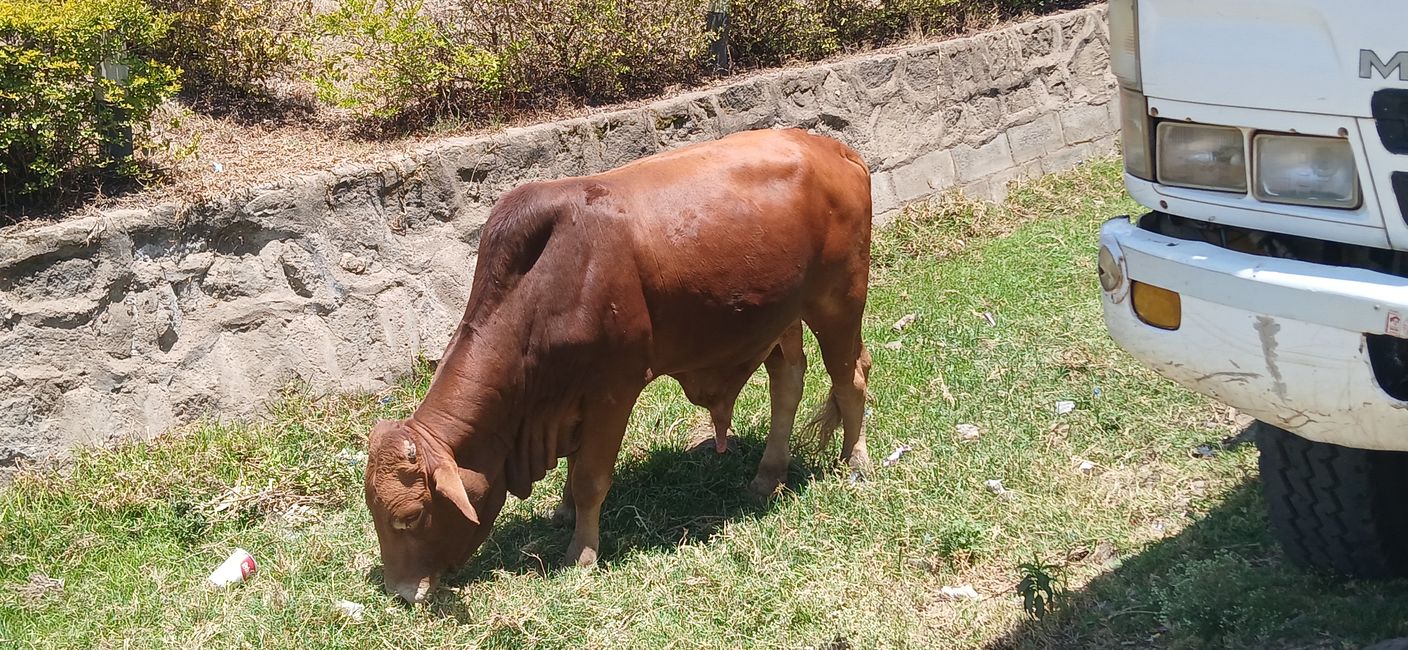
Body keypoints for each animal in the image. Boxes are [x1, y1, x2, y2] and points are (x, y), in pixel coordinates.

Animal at [363, 126, 867, 604]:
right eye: (374, 513)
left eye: (410, 517)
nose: (402, 592)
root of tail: (833, 148)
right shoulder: (570, 401)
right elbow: (574, 467)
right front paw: (564, 512)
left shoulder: (613, 389)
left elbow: (590, 477)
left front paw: (581, 553)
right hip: (778, 316)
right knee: (789, 381)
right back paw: (768, 474)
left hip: (839, 301)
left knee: (850, 378)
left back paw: (855, 463)